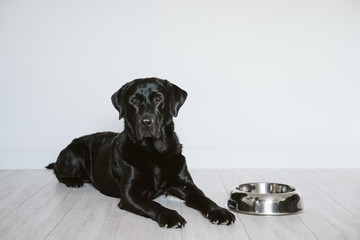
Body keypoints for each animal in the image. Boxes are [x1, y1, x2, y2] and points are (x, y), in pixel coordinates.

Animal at [46, 78, 235, 228]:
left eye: (158, 98)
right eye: (134, 101)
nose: (146, 122)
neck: (155, 151)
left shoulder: (185, 185)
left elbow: (203, 197)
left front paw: (219, 211)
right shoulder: (130, 194)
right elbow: (153, 205)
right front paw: (170, 215)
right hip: (76, 152)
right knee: (57, 171)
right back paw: (73, 181)